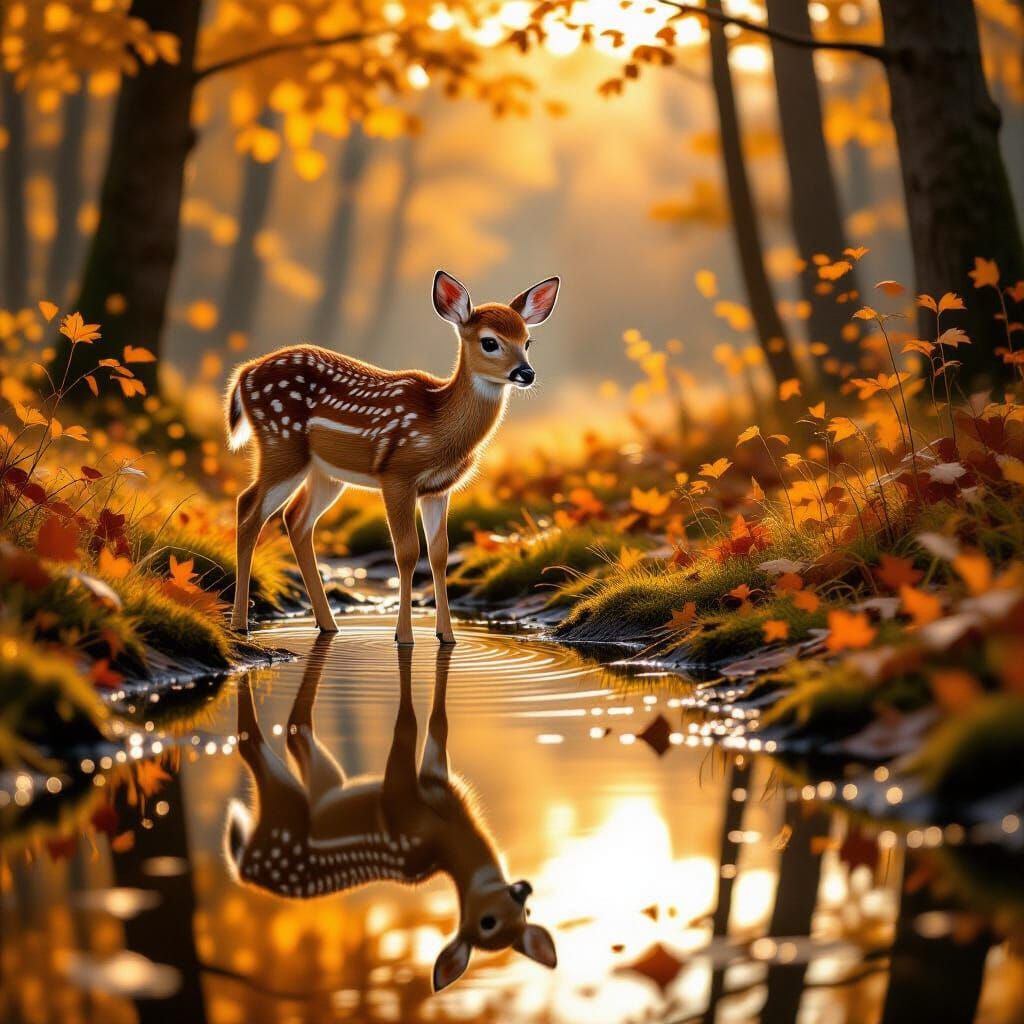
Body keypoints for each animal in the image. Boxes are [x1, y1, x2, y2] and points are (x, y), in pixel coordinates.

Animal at [225, 270, 561, 644]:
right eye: (490, 342)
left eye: (527, 341)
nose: (526, 373)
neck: (438, 425)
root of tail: (243, 375)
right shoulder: (398, 475)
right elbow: (407, 551)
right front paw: (404, 636)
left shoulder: (438, 489)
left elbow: (439, 553)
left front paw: (447, 635)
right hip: (281, 443)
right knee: (248, 508)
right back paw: (240, 624)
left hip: (325, 472)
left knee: (295, 519)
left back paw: (328, 624)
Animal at [225, 638, 557, 991]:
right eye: (488, 922)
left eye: (526, 914)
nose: (523, 890)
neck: (446, 831)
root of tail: (244, 868)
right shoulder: (401, 804)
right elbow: (407, 727)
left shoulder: (435, 778)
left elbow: (438, 726)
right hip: (285, 812)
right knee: (253, 745)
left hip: (323, 786)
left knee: (294, 731)